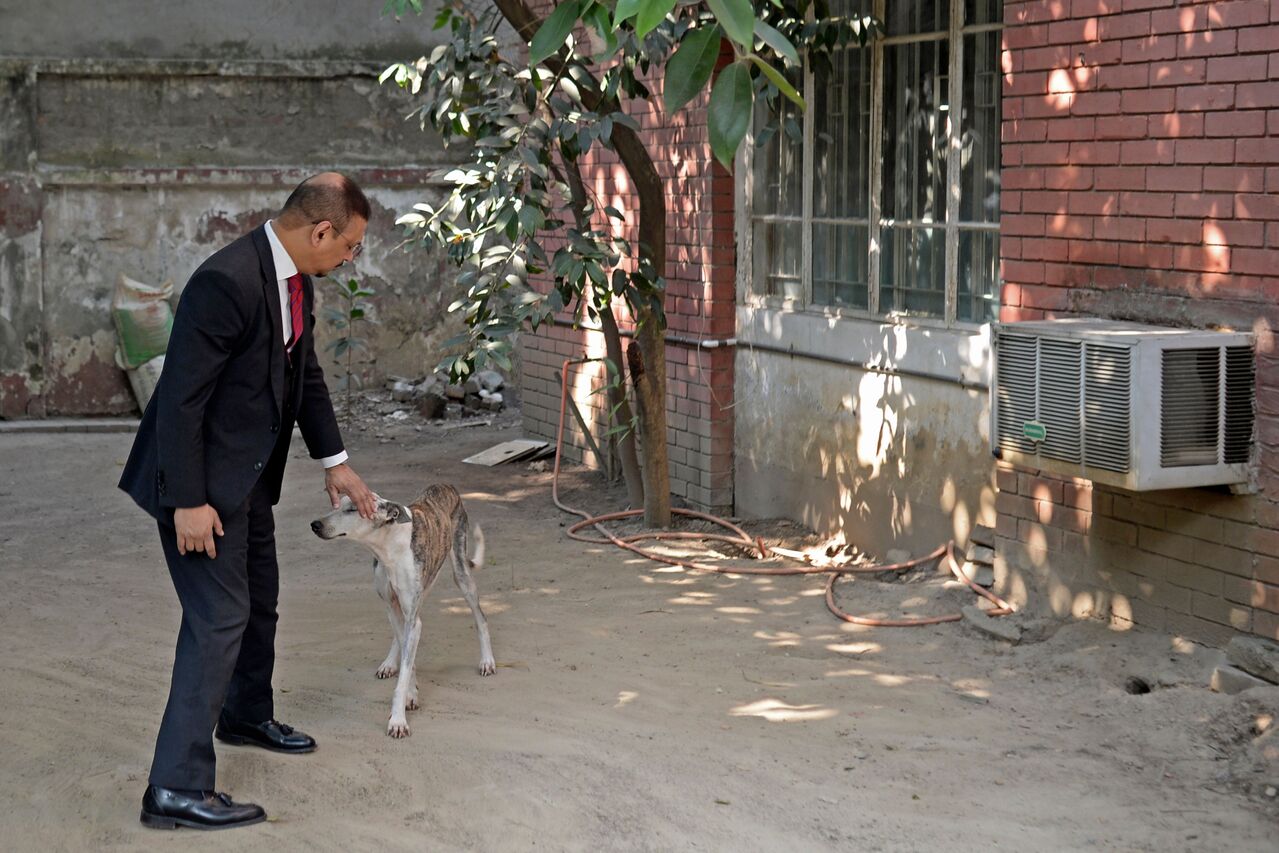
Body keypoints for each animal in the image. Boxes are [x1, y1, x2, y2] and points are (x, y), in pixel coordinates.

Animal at [311, 485, 495, 737]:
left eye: (352, 509)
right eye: (335, 505)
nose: (315, 524)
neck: (388, 547)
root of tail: (445, 486)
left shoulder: (411, 614)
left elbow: (406, 669)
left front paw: (398, 720)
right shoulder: (392, 606)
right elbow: (409, 659)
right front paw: (411, 694)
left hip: (460, 573)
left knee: (481, 618)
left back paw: (487, 660)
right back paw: (389, 663)